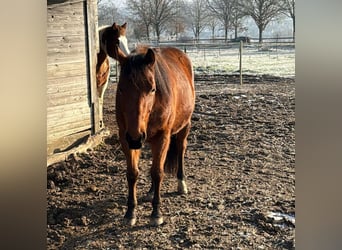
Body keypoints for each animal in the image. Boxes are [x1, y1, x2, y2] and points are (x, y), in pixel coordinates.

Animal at [113, 45, 195, 227]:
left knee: (181, 149)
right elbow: (132, 173)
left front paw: (156, 213)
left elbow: (157, 173)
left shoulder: (162, 137)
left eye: (152, 89)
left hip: (184, 126)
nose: (135, 138)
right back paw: (151, 191)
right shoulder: (125, 138)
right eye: (121, 88)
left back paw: (182, 184)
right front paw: (130, 212)